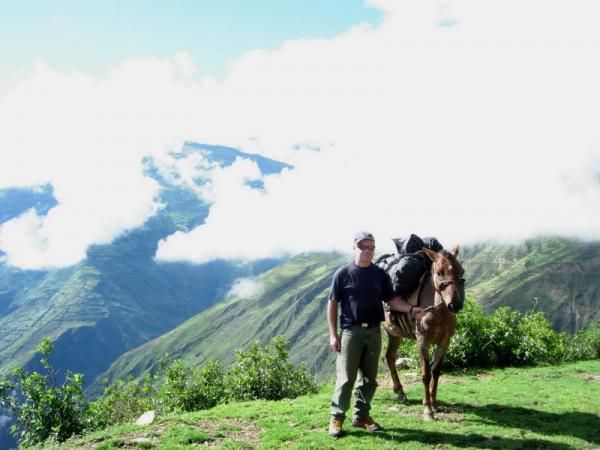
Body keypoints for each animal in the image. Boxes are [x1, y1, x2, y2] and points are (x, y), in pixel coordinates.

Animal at [380, 244, 464, 420]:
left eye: (461, 271)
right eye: (439, 272)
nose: (455, 304)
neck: (438, 312)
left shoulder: (445, 341)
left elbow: (436, 371)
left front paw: (434, 404)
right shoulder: (422, 342)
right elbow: (426, 374)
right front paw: (427, 410)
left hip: (393, 333)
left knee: (390, 357)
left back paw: (400, 392)